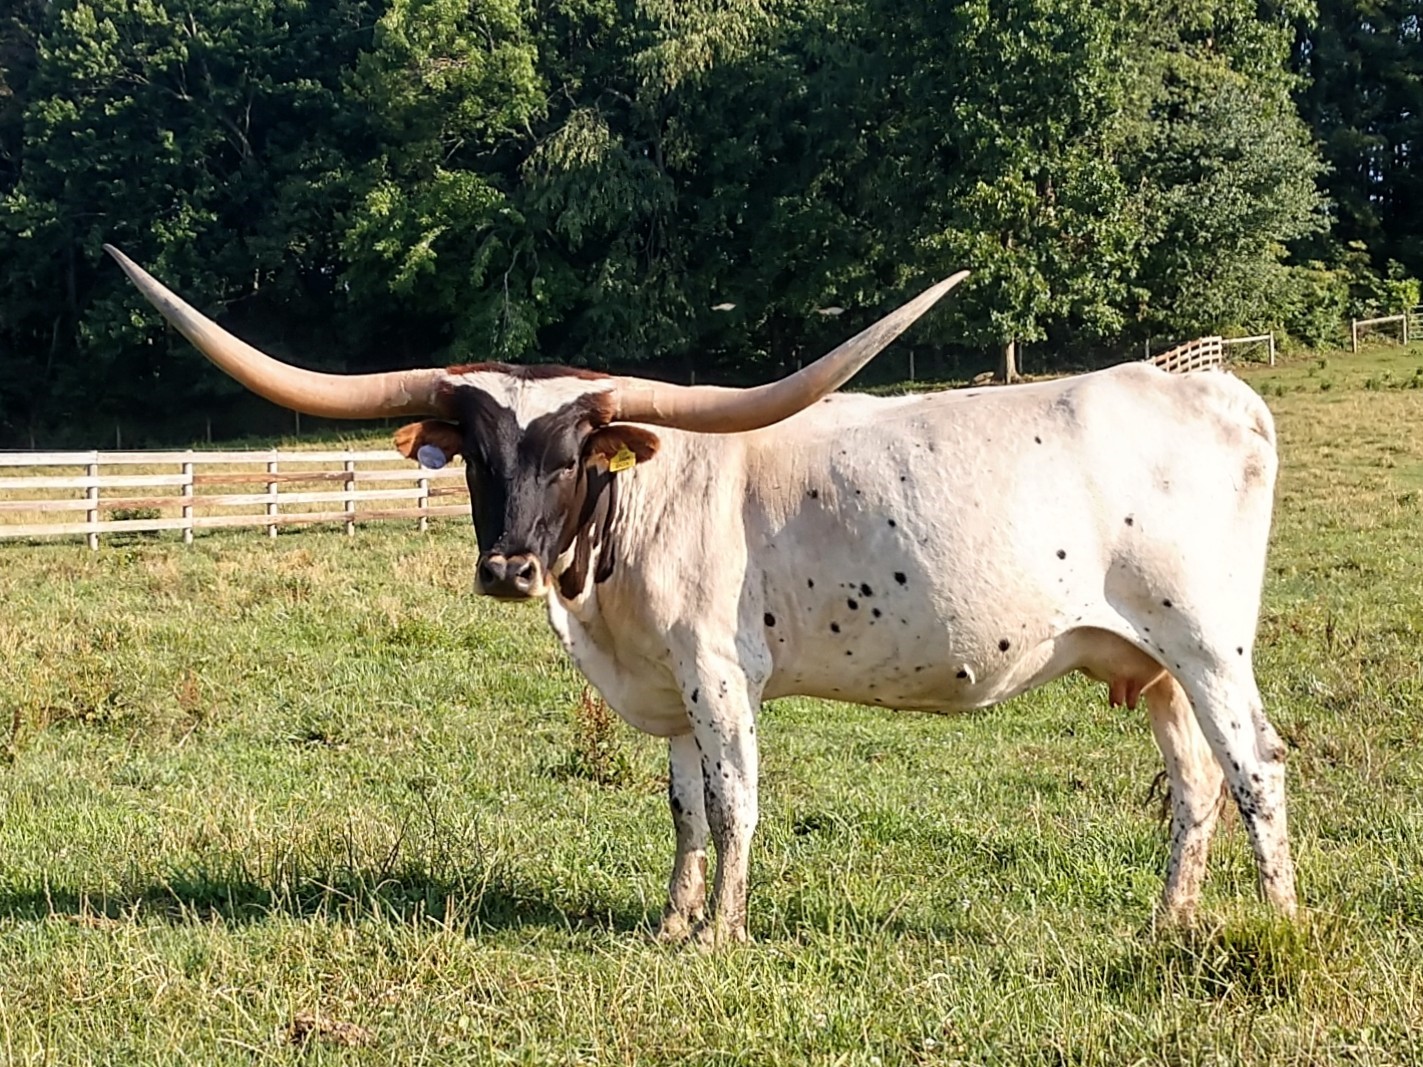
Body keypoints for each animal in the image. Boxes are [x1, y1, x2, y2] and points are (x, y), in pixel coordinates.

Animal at [106, 244, 1297, 945]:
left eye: (574, 455)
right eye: (478, 456)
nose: (508, 569)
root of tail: (1213, 388)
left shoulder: (720, 672)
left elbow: (733, 802)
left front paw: (722, 933)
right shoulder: (667, 685)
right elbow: (681, 806)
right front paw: (675, 923)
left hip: (1206, 646)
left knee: (1254, 770)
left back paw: (1280, 920)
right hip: (1149, 664)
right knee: (1193, 785)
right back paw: (1170, 921)